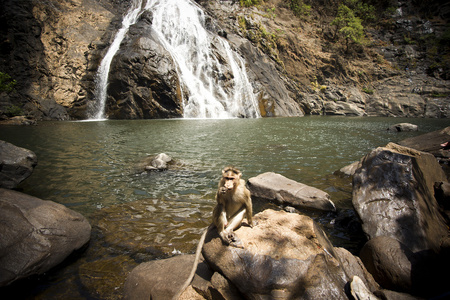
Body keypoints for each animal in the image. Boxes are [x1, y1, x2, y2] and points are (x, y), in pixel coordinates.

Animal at [173, 168, 253, 298]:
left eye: (232, 178)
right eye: (226, 178)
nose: (228, 184)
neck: (232, 189)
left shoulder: (244, 189)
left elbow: (248, 203)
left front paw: (251, 223)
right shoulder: (220, 183)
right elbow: (219, 200)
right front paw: (221, 192)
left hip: (230, 222)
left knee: (242, 209)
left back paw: (229, 231)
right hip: (217, 220)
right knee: (220, 207)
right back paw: (222, 232)